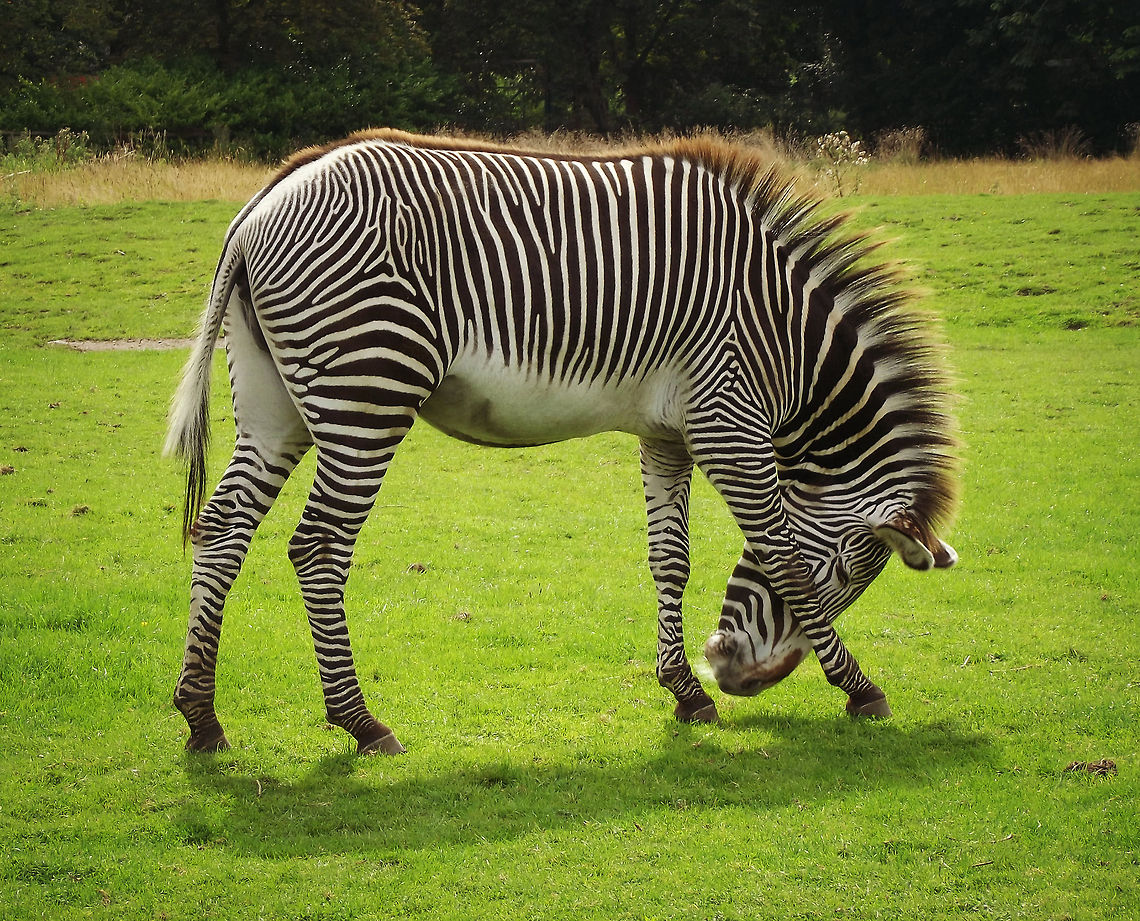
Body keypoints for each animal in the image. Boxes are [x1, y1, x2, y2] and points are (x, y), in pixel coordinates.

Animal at [166, 129, 959, 755]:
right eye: (849, 573)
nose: (733, 676)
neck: (785, 335)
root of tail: (267, 197)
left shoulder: (668, 432)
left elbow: (670, 558)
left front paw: (685, 692)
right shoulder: (727, 423)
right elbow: (785, 559)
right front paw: (859, 688)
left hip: (275, 407)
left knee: (224, 526)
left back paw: (202, 715)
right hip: (368, 391)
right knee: (319, 547)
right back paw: (360, 721)